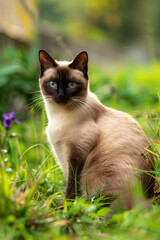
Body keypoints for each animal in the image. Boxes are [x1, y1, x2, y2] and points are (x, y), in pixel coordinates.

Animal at [38, 50, 154, 202]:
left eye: (71, 85)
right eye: (52, 84)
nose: (61, 96)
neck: (57, 115)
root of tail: (148, 196)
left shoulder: (76, 154)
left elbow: (71, 184)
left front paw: (67, 204)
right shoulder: (61, 154)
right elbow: (68, 179)